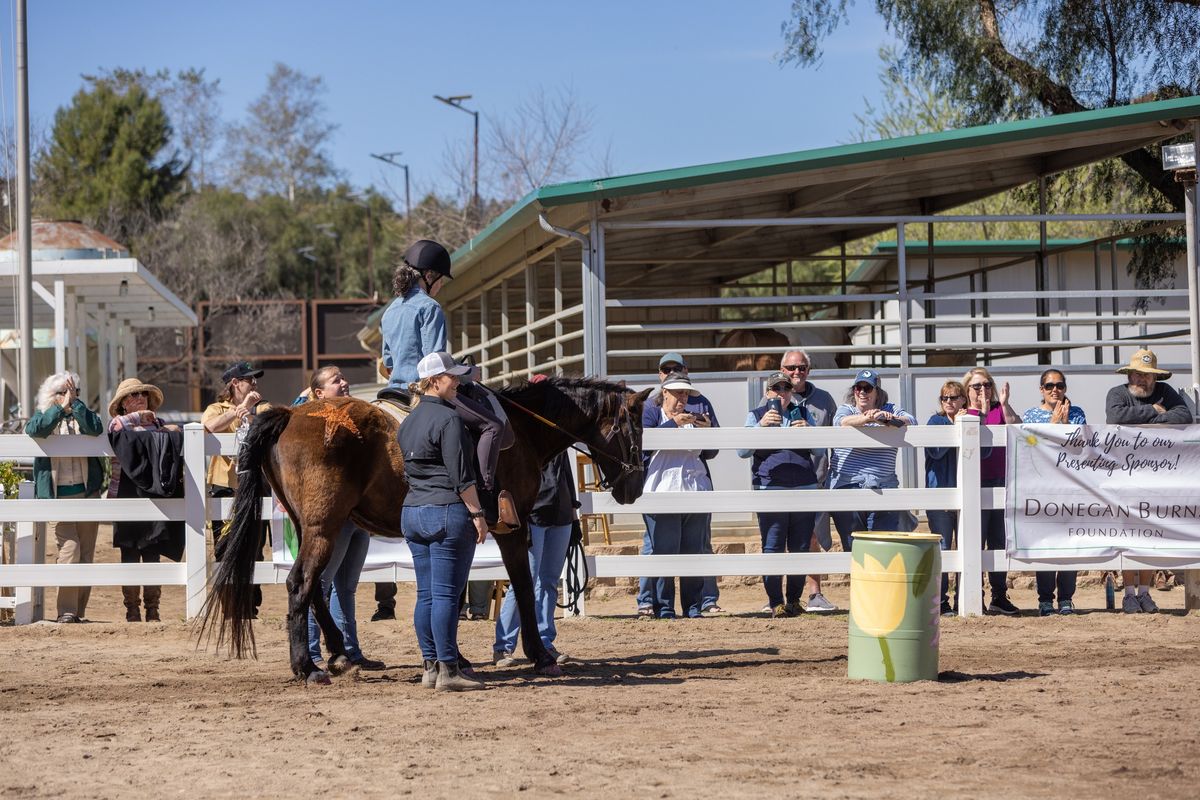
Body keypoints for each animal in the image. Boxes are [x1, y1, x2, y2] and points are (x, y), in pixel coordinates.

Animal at [199, 376, 648, 681]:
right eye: (637, 426)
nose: (635, 487)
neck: (520, 431)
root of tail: (292, 414)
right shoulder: (511, 529)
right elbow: (521, 585)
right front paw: (541, 655)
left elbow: (454, 584)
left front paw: (457, 657)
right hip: (324, 528)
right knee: (301, 585)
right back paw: (307, 666)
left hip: (320, 527)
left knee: (317, 592)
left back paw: (341, 654)